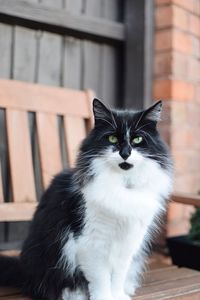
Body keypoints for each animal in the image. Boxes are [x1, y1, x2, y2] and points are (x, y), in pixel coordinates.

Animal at [0, 98, 173, 300]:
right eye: (112, 139)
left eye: (137, 139)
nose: (125, 153)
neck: (122, 184)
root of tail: (22, 269)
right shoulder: (92, 243)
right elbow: (101, 279)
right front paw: (104, 297)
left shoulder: (128, 244)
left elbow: (118, 276)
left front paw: (118, 295)